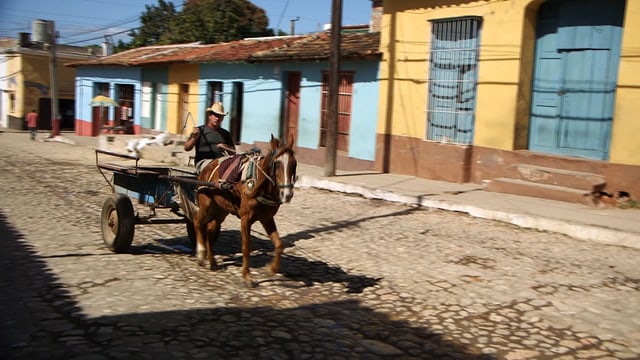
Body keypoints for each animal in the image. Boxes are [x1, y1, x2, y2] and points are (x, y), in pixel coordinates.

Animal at [192, 133, 298, 286]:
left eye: (294, 164)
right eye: (276, 164)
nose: (287, 194)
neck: (258, 184)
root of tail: (208, 167)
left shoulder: (267, 218)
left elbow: (279, 244)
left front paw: (271, 268)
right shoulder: (245, 219)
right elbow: (246, 247)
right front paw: (247, 276)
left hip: (221, 210)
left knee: (211, 230)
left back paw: (212, 261)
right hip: (206, 205)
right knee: (198, 222)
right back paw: (201, 253)